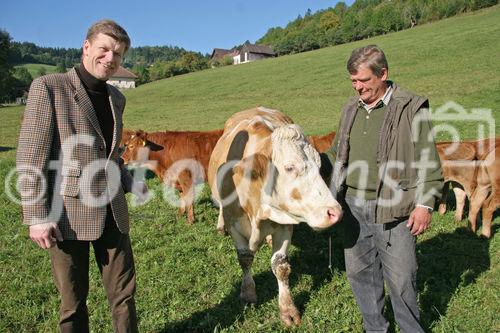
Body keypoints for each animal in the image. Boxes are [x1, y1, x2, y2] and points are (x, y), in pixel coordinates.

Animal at [208, 107, 344, 326]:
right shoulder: (235, 225)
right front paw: (248, 293)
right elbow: (245, 258)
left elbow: (280, 265)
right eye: (289, 167)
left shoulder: (285, 225)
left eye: (319, 165)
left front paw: (288, 309)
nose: (334, 212)